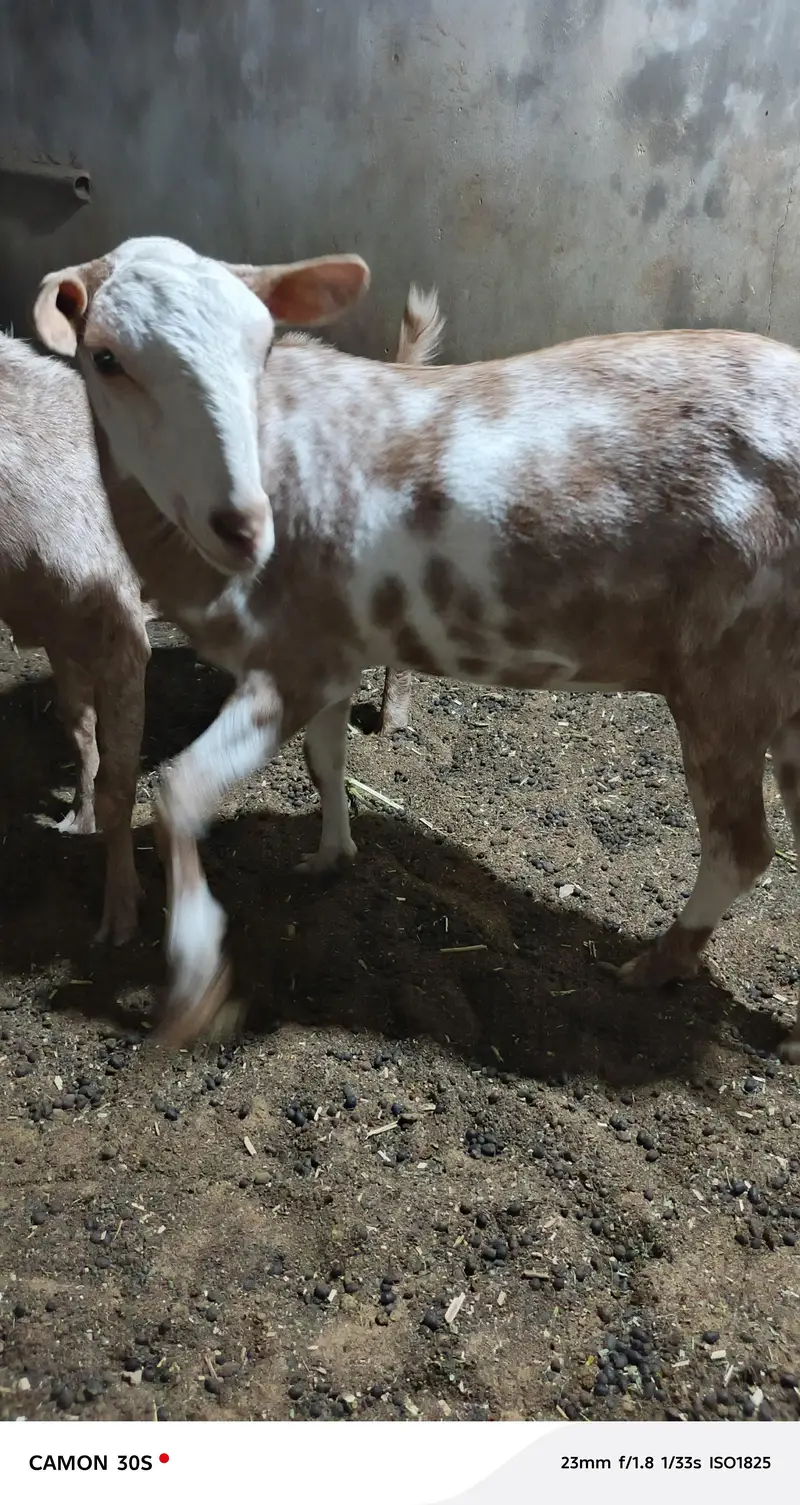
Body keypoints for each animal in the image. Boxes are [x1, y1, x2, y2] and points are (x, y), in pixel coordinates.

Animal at [32, 236, 800, 1062]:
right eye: (106, 358)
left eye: (262, 346)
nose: (243, 525)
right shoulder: (335, 651)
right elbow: (326, 758)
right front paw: (331, 853)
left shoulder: (295, 653)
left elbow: (178, 792)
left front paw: (197, 987)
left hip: (728, 675)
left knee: (741, 845)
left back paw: (656, 963)